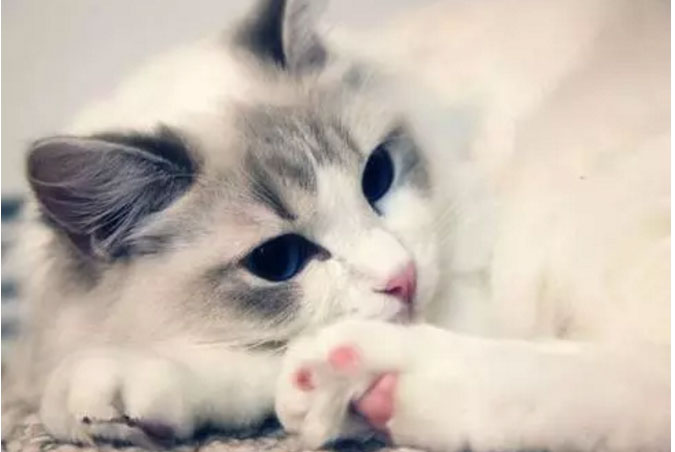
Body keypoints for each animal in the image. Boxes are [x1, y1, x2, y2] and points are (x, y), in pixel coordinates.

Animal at [3, 0, 669, 450]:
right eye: (277, 261)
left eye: (377, 176)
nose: (402, 277)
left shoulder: (474, 286)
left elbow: (259, 361)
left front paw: (105, 385)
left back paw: (376, 382)